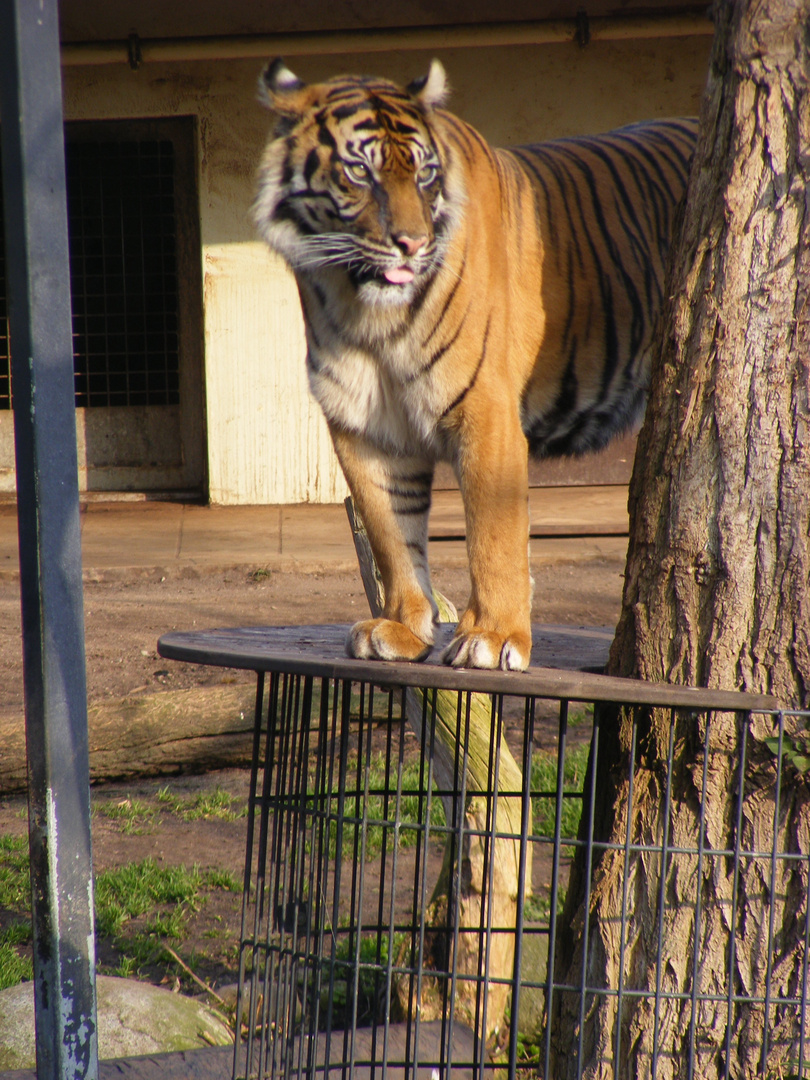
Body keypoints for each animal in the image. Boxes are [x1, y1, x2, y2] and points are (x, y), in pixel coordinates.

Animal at [253, 59, 699, 669]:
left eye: (423, 176)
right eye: (360, 172)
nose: (412, 243)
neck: (363, 308)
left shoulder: (485, 410)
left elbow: (493, 533)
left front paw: (494, 636)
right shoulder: (363, 424)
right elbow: (391, 533)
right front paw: (402, 628)